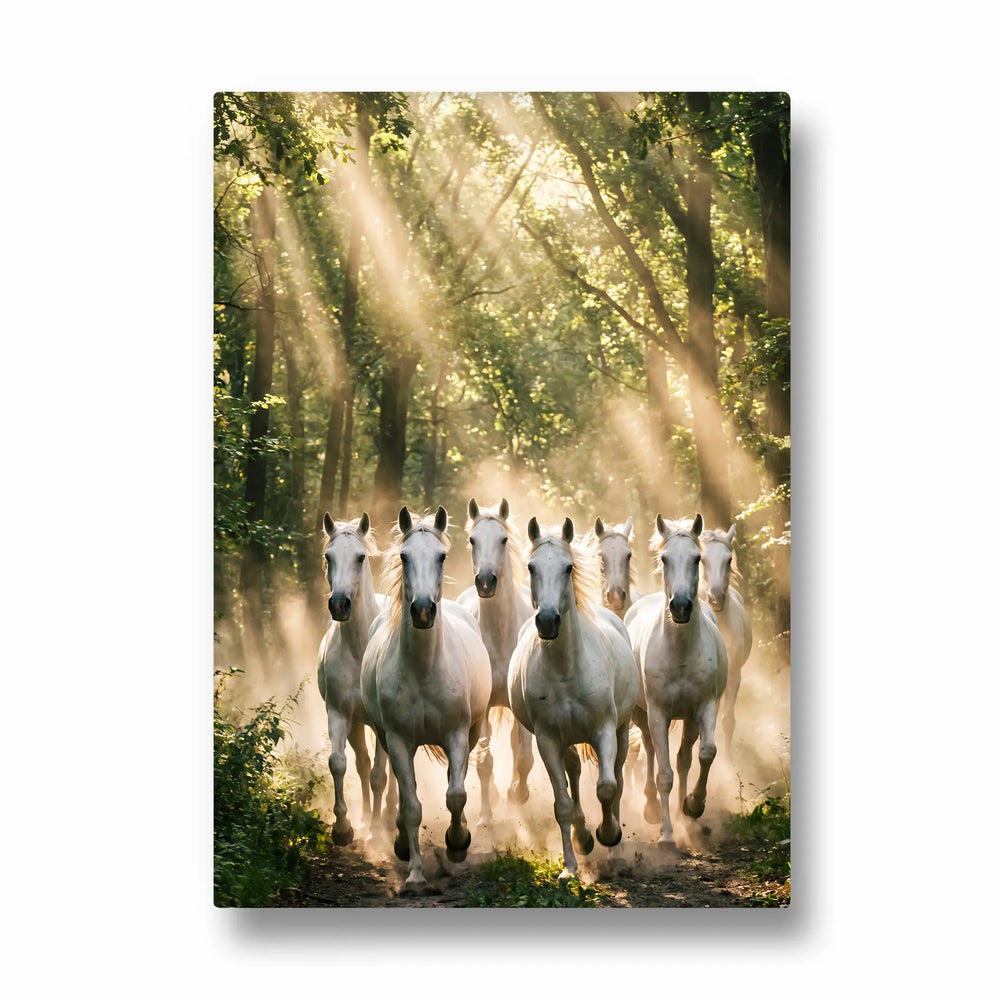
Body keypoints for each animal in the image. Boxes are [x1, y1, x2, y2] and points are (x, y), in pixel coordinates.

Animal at [360, 505, 493, 892]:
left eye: (441, 556)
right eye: (404, 556)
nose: (422, 610)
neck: (423, 669)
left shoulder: (458, 735)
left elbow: (456, 795)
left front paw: (458, 844)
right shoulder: (399, 740)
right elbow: (412, 806)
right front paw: (416, 874)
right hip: (389, 740)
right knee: (402, 791)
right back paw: (402, 843)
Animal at [456, 497, 535, 805]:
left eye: (503, 539)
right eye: (472, 539)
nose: (486, 581)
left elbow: (524, 757)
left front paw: (518, 794)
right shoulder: (485, 707)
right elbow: (484, 763)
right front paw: (485, 814)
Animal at [508, 516, 639, 882]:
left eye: (568, 567)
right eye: (531, 567)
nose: (548, 621)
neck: (566, 669)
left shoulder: (604, 730)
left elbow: (607, 787)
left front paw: (609, 835)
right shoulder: (548, 740)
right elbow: (563, 804)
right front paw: (570, 866)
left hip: (621, 731)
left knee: (618, 779)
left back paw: (615, 848)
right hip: (567, 741)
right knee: (575, 774)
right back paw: (583, 837)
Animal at [625, 514, 728, 850]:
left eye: (697, 559)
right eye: (665, 559)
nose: (680, 606)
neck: (679, 651)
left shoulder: (704, 708)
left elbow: (705, 754)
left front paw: (694, 805)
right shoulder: (658, 713)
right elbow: (664, 775)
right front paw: (667, 836)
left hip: (689, 719)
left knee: (684, 758)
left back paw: (687, 817)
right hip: (642, 714)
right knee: (650, 751)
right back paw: (650, 807)